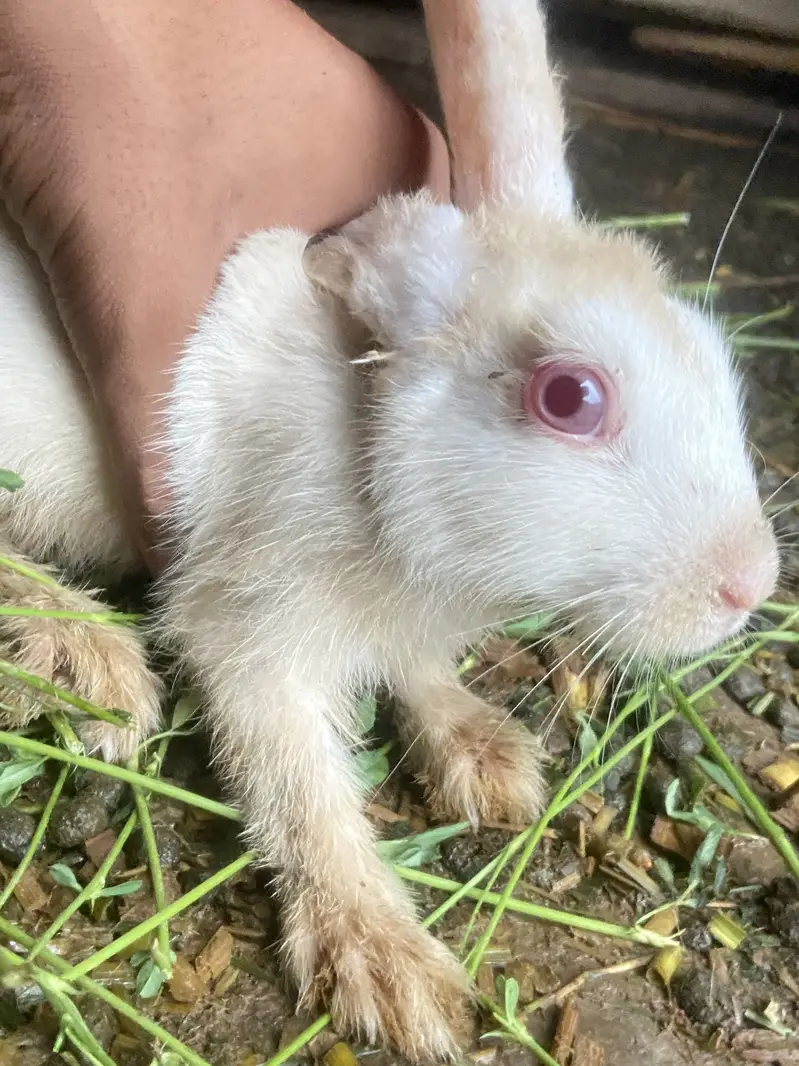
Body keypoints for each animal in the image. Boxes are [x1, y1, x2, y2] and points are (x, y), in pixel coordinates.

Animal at [0, 0, 780, 1058]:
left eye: (713, 353)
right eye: (569, 397)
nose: (748, 585)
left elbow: (415, 675)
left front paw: (485, 757)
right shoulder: (246, 622)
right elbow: (301, 789)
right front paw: (388, 969)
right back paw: (87, 657)